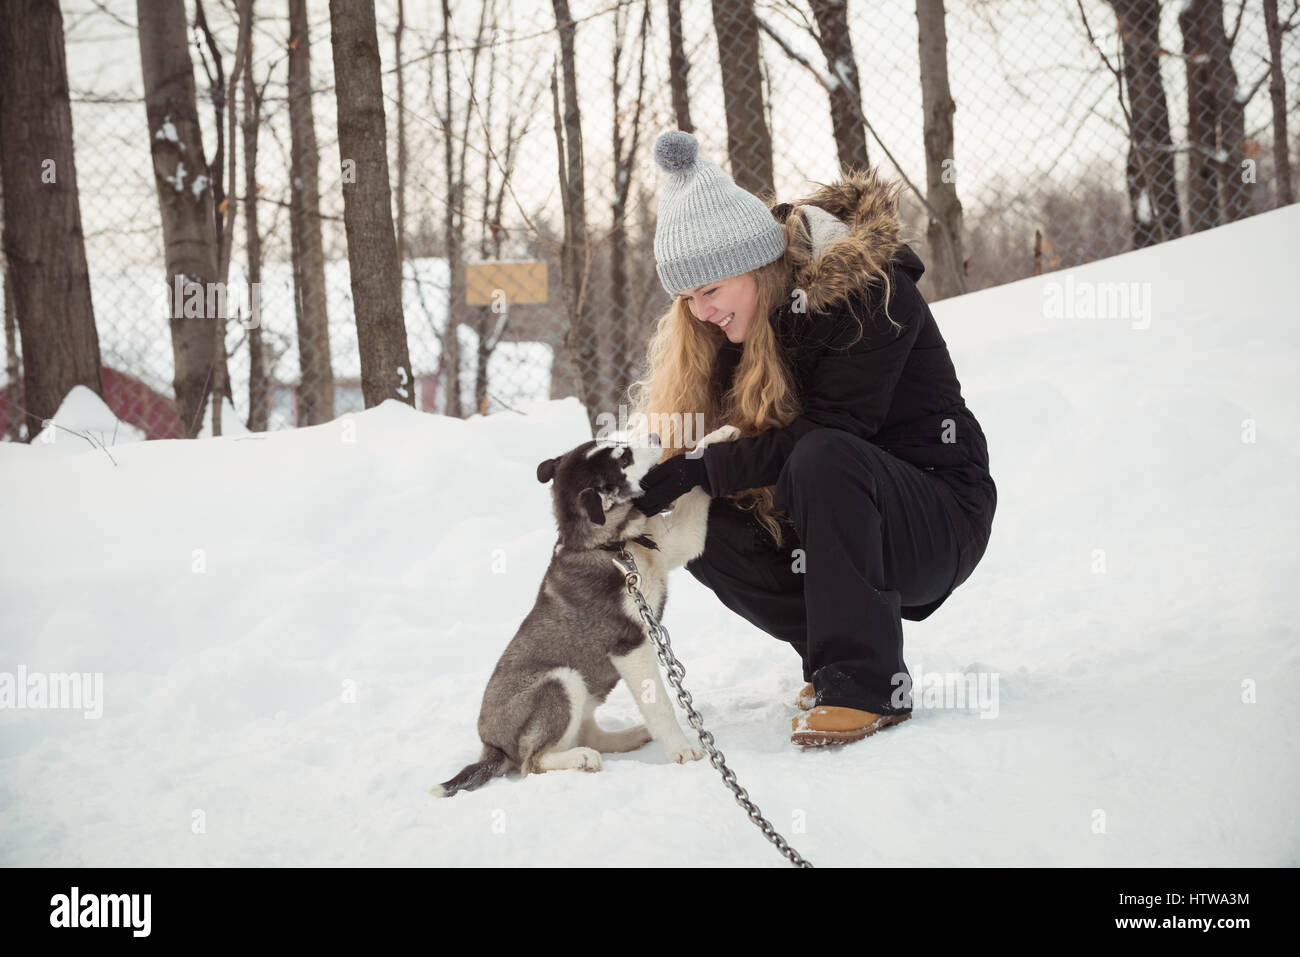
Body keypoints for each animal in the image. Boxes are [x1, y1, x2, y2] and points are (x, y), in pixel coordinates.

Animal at [434, 423, 743, 790]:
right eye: (624, 459)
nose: (655, 437)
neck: (614, 546)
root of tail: (491, 747)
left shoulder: (676, 542)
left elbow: (692, 495)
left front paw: (715, 440)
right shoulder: (629, 644)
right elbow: (660, 704)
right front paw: (681, 750)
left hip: (585, 692)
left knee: (588, 734)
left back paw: (629, 737)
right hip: (561, 680)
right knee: (531, 763)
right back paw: (580, 758)